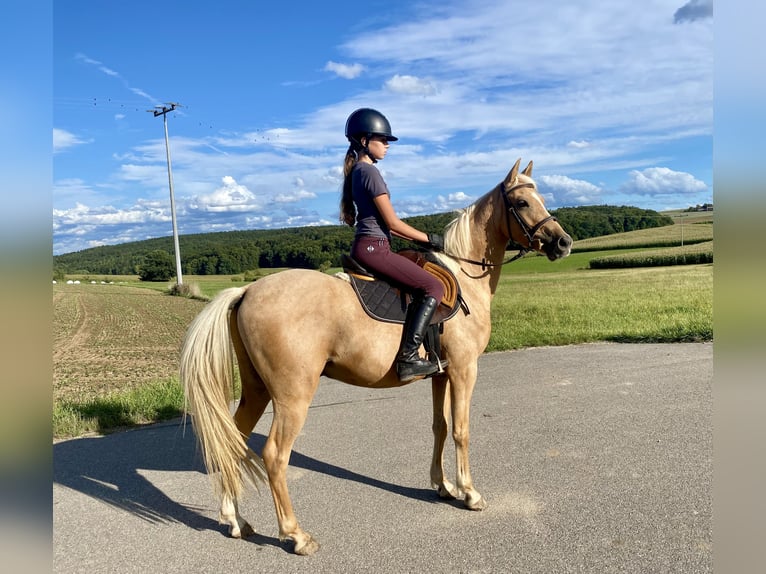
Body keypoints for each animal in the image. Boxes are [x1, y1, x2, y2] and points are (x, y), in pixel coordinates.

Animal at [180, 158, 573, 555]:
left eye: (542, 197)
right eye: (522, 202)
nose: (563, 242)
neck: (464, 276)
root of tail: (246, 290)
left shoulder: (441, 373)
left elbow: (440, 426)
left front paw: (443, 486)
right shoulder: (465, 369)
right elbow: (461, 430)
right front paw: (470, 493)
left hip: (257, 390)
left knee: (232, 443)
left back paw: (236, 521)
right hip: (292, 396)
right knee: (275, 455)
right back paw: (296, 535)